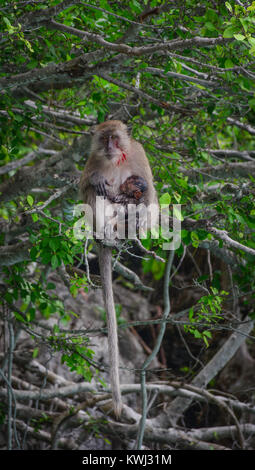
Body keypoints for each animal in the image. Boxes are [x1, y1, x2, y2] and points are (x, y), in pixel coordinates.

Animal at [80, 119, 158, 416]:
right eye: (104, 139)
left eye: (115, 138)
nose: (111, 146)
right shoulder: (93, 160)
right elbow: (87, 186)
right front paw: (96, 181)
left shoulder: (139, 154)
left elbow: (151, 196)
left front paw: (140, 211)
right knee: (97, 196)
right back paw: (104, 232)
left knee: (141, 208)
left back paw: (130, 228)